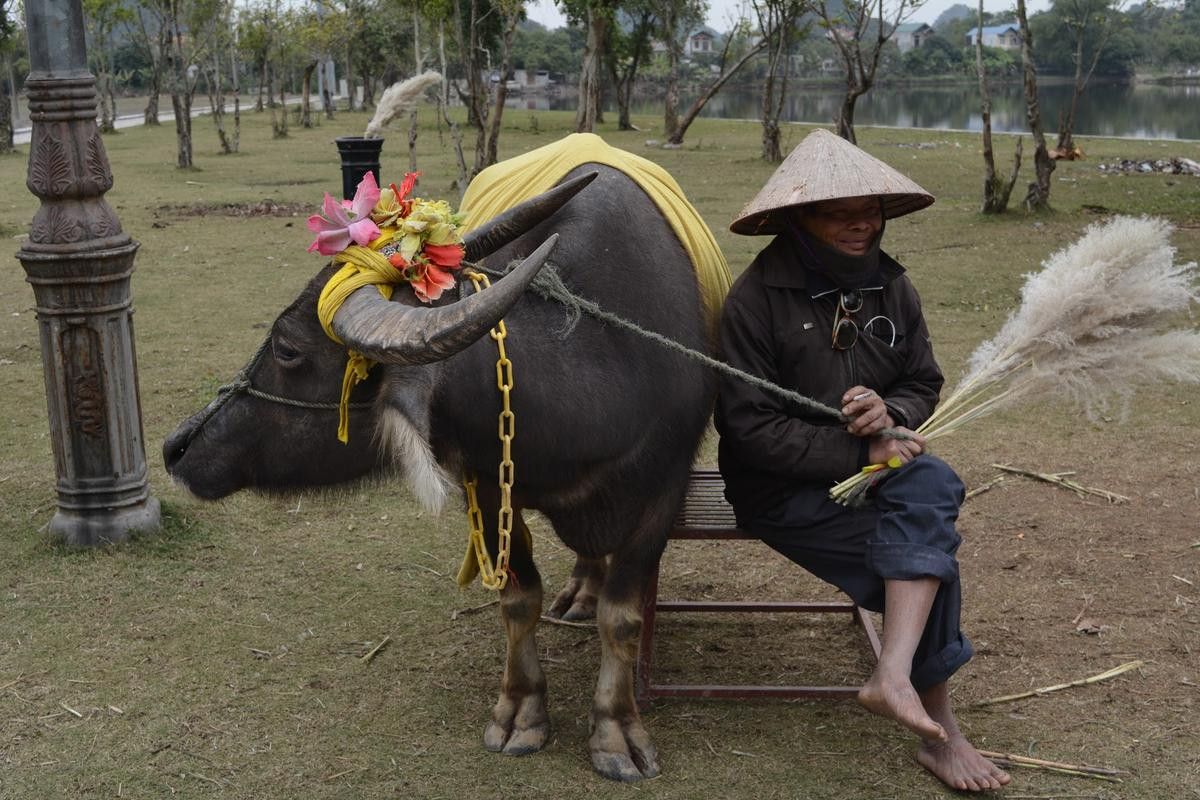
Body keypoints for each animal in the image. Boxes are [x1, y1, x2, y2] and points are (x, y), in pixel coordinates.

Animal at [164, 164, 715, 782]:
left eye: (286, 349)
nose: (176, 449)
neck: (601, 377)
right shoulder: (493, 484)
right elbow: (518, 598)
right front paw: (520, 713)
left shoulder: (663, 493)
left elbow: (622, 618)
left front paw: (616, 730)